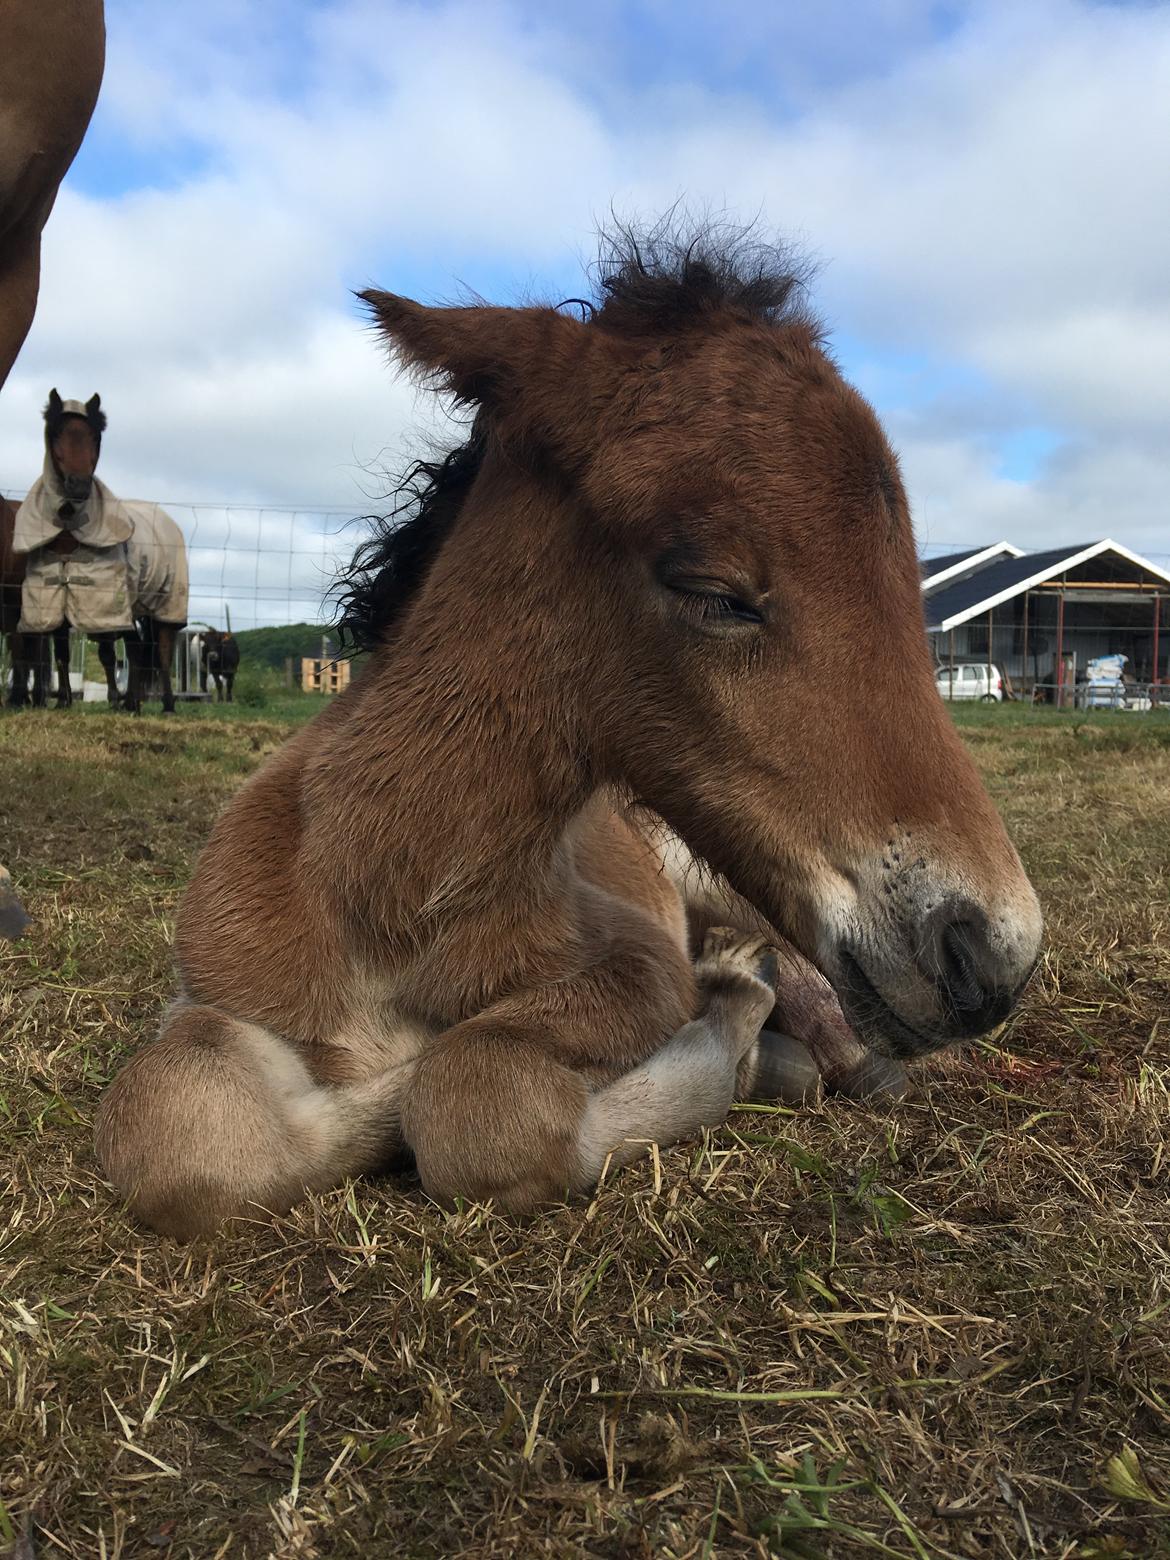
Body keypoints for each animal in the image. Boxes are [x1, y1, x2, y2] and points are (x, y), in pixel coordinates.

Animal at [2, 393, 187, 711]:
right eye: (57, 433)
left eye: (94, 435)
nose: (78, 485)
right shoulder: (57, 599)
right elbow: (63, 651)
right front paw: (64, 700)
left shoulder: (105, 603)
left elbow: (109, 653)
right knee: (139, 648)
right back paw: (131, 702)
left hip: (166, 604)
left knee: (160, 650)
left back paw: (164, 704)